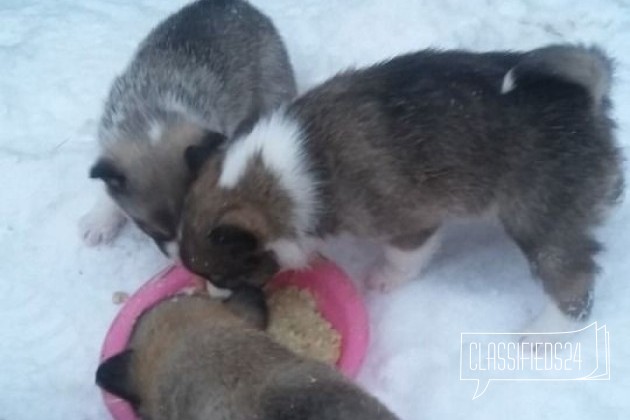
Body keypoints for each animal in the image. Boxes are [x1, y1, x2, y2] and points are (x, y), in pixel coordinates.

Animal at [79, 0, 296, 256]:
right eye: (155, 232)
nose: (183, 260)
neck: (152, 118)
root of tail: (234, 3)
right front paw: (100, 219)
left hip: (273, 82)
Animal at [180, 44, 624, 342]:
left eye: (222, 275)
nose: (213, 298)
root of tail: (584, 99)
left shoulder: (409, 222)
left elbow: (403, 257)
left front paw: (385, 278)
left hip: (538, 220)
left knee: (573, 280)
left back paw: (544, 335)